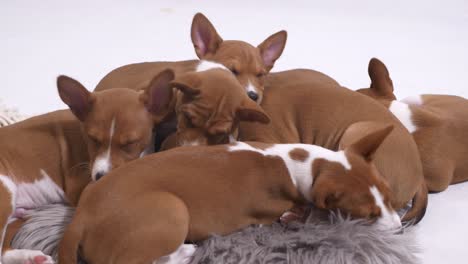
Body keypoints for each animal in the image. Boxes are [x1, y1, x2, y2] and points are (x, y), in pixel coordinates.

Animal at [0, 71, 174, 262]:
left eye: (130, 143)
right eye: (93, 139)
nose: (100, 176)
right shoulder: (79, 186)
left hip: (17, 217)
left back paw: (32, 257)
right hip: (5, 195)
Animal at [58, 125, 400, 262]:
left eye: (389, 196)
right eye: (369, 215)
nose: (399, 229)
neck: (304, 162)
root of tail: (82, 216)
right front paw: (295, 214)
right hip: (171, 209)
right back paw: (184, 253)